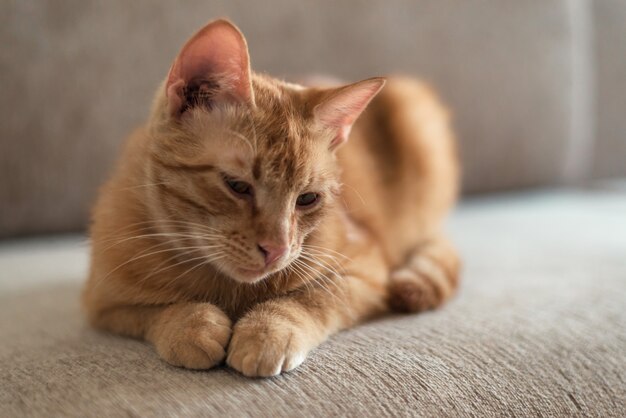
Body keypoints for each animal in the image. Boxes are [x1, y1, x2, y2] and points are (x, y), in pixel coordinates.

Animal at [81, 19, 458, 378]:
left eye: (307, 199)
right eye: (237, 185)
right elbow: (153, 310)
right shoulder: (103, 303)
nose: (277, 249)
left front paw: (267, 331)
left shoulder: (363, 271)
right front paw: (189, 325)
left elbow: (310, 299)